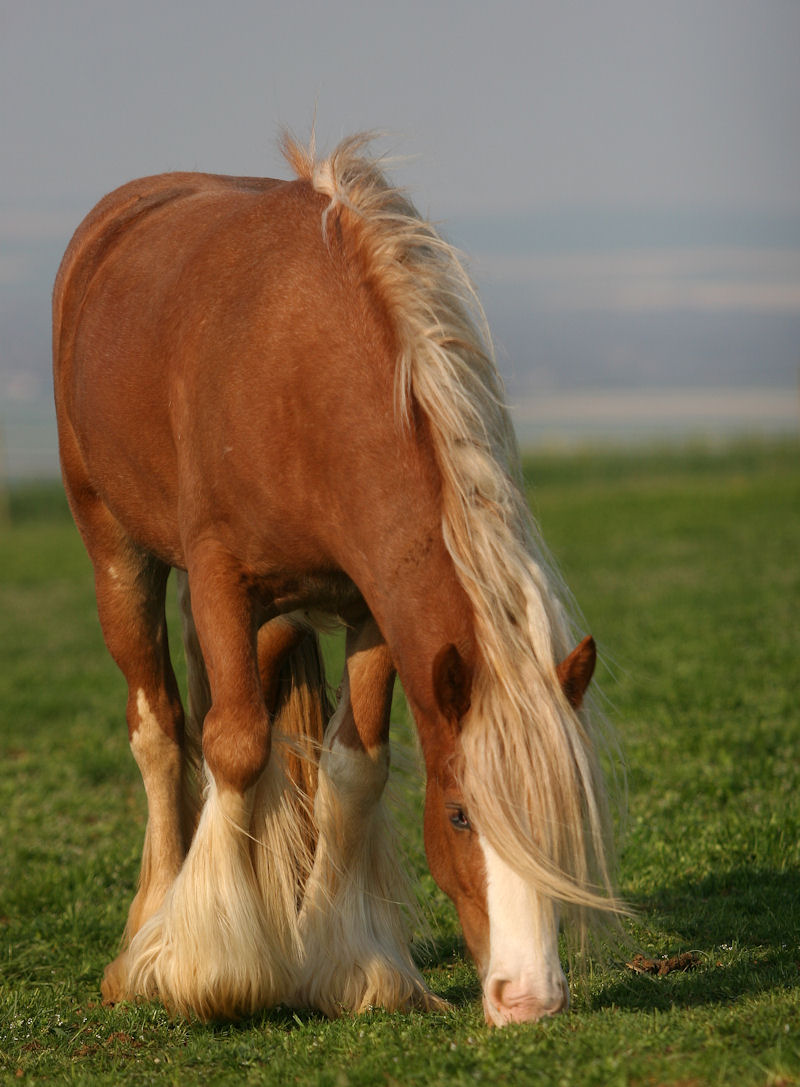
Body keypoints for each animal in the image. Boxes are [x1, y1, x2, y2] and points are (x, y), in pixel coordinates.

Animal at [53, 131, 621, 1021]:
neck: (303, 380)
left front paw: (351, 965)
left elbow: (352, 766)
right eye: (461, 816)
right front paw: (208, 967)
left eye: (559, 824)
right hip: (116, 546)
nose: (529, 996)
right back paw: (150, 928)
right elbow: (237, 745)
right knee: (161, 729)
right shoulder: (220, 575)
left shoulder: (368, 606)